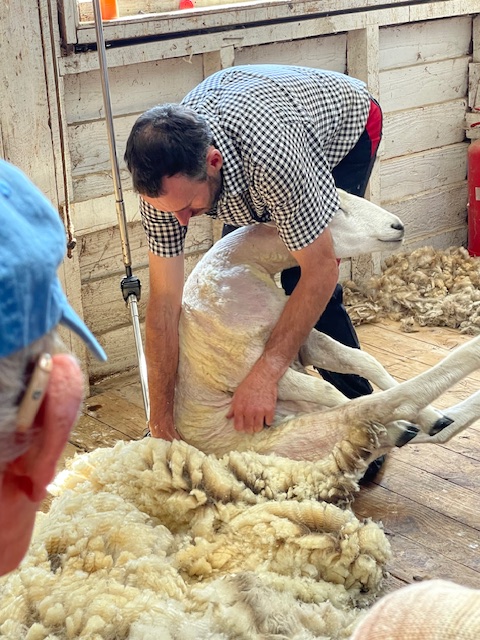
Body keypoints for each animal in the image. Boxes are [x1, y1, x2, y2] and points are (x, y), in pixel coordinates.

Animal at [174, 190, 477, 468]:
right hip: (302, 437)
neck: (238, 269)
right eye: (334, 209)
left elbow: (364, 360)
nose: (398, 226)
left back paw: (426, 423)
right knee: (373, 409)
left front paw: (431, 416)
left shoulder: (301, 343)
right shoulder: (249, 375)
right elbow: (329, 390)